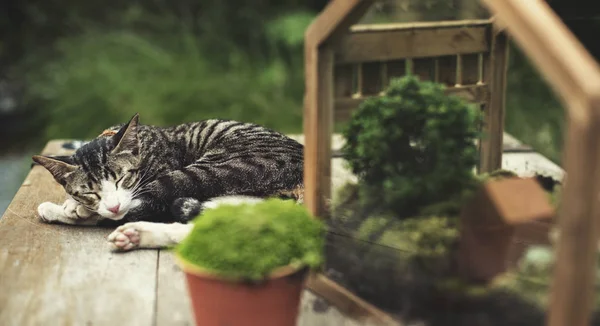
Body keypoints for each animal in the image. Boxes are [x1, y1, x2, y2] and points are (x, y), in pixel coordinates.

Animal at [32, 113, 304, 251]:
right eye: (91, 192)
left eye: (122, 178)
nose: (113, 205)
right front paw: (73, 203)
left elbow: (133, 205)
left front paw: (73, 207)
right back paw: (137, 235)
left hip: (220, 167)